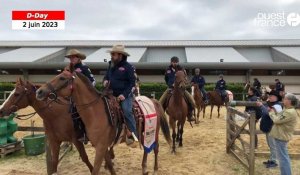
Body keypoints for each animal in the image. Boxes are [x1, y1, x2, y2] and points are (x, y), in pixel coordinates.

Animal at [35, 70, 171, 175]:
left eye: (62, 78)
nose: (39, 91)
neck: (95, 112)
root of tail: (153, 100)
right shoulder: (102, 146)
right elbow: (110, 166)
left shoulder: (100, 148)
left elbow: (96, 170)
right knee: (146, 149)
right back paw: (144, 168)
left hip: (154, 132)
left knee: (155, 148)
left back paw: (155, 169)